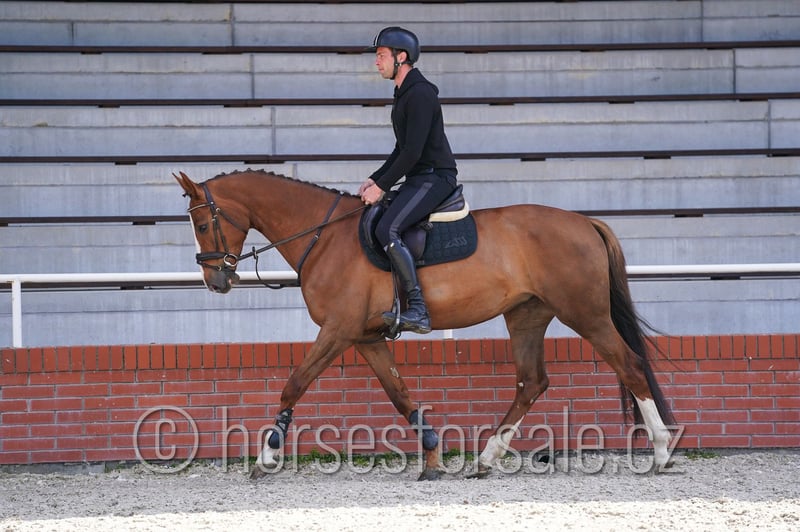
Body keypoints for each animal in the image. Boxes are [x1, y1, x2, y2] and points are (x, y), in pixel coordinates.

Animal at [174, 169, 676, 480]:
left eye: (201, 224)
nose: (215, 280)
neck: (324, 235)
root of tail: (584, 221)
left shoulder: (337, 331)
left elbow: (294, 384)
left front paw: (266, 457)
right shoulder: (364, 338)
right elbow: (400, 395)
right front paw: (432, 453)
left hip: (585, 313)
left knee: (630, 365)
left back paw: (662, 451)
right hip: (527, 316)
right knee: (532, 382)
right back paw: (486, 459)